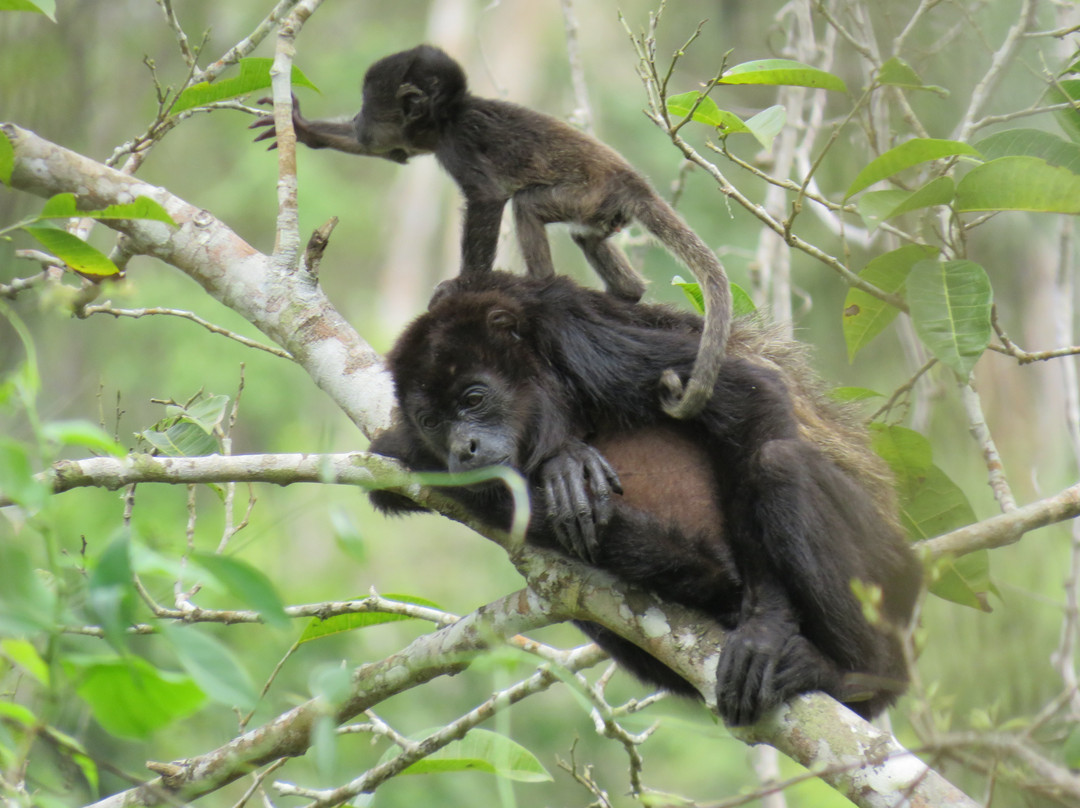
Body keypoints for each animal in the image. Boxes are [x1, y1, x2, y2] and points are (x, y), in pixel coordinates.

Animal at [248, 42, 730, 423]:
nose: (360, 121)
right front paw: (304, 128)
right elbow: (392, 153)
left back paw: (542, 286)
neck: (449, 117)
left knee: (527, 205)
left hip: (590, 193)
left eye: (368, 105)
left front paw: (465, 290)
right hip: (601, 210)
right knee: (587, 238)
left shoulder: (457, 143)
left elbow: (488, 197)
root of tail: (633, 183)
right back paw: (623, 294)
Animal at [371, 271, 920, 725]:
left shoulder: (583, 340)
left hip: (888, 577)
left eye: (474, 398)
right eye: (432, 421)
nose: (461, 449)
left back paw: (856, 676)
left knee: (779, 462)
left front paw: (764, 629)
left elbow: (750, 393)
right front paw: (562, 462)